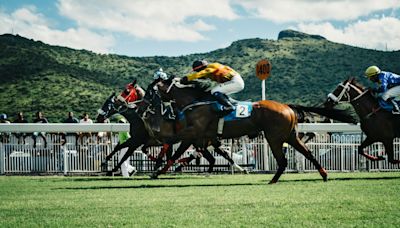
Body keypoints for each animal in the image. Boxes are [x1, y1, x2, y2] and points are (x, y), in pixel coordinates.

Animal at [154, 77, 356, 183]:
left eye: (152, 90)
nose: (150, 104)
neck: (197, 102)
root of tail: (287, 107)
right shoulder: (202, 138)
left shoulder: (193, 133)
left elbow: (174, 148)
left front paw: (157, 170)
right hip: (290, 136)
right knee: (307, 153)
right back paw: (323, 174)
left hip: (274, 137)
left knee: (283, 160)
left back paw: (273, 180)